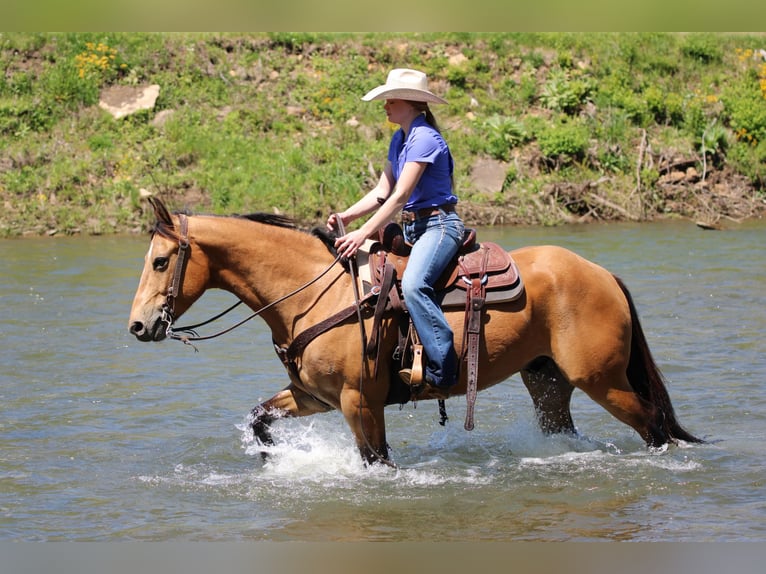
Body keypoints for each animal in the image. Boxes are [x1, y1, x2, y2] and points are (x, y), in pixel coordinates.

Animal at [128, 197, 702, 464]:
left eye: (159, 261)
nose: (137, 325)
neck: (316, 295)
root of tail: (601, 273)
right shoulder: (314, 396)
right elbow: (259, 419)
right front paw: (274, 459)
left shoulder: (360, 401)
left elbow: (377, 462)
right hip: (548, 382)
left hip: (602, 380)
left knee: (653, 425)